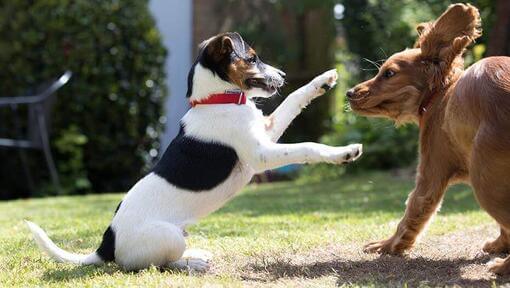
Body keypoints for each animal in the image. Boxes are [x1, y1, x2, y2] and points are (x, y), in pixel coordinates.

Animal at [25, 32, 362, 272]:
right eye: (252, 59)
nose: (282, 75)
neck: (217, 100)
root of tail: (106, 243)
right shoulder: (260, 154)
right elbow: (308, 147)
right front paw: (344, 152)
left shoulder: (266, 130)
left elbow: (293, 100)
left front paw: (323, 81)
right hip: (167, 238)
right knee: (153, 265)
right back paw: (192, 263)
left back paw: (195, 255)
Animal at [346, 3, 510, 274]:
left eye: (389, 73)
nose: (349, 93)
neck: (441, 93)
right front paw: (499, 244)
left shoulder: (430, 173)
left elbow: (411, 211)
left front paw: (387, 245)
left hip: (486, 182)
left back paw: (502, 267)